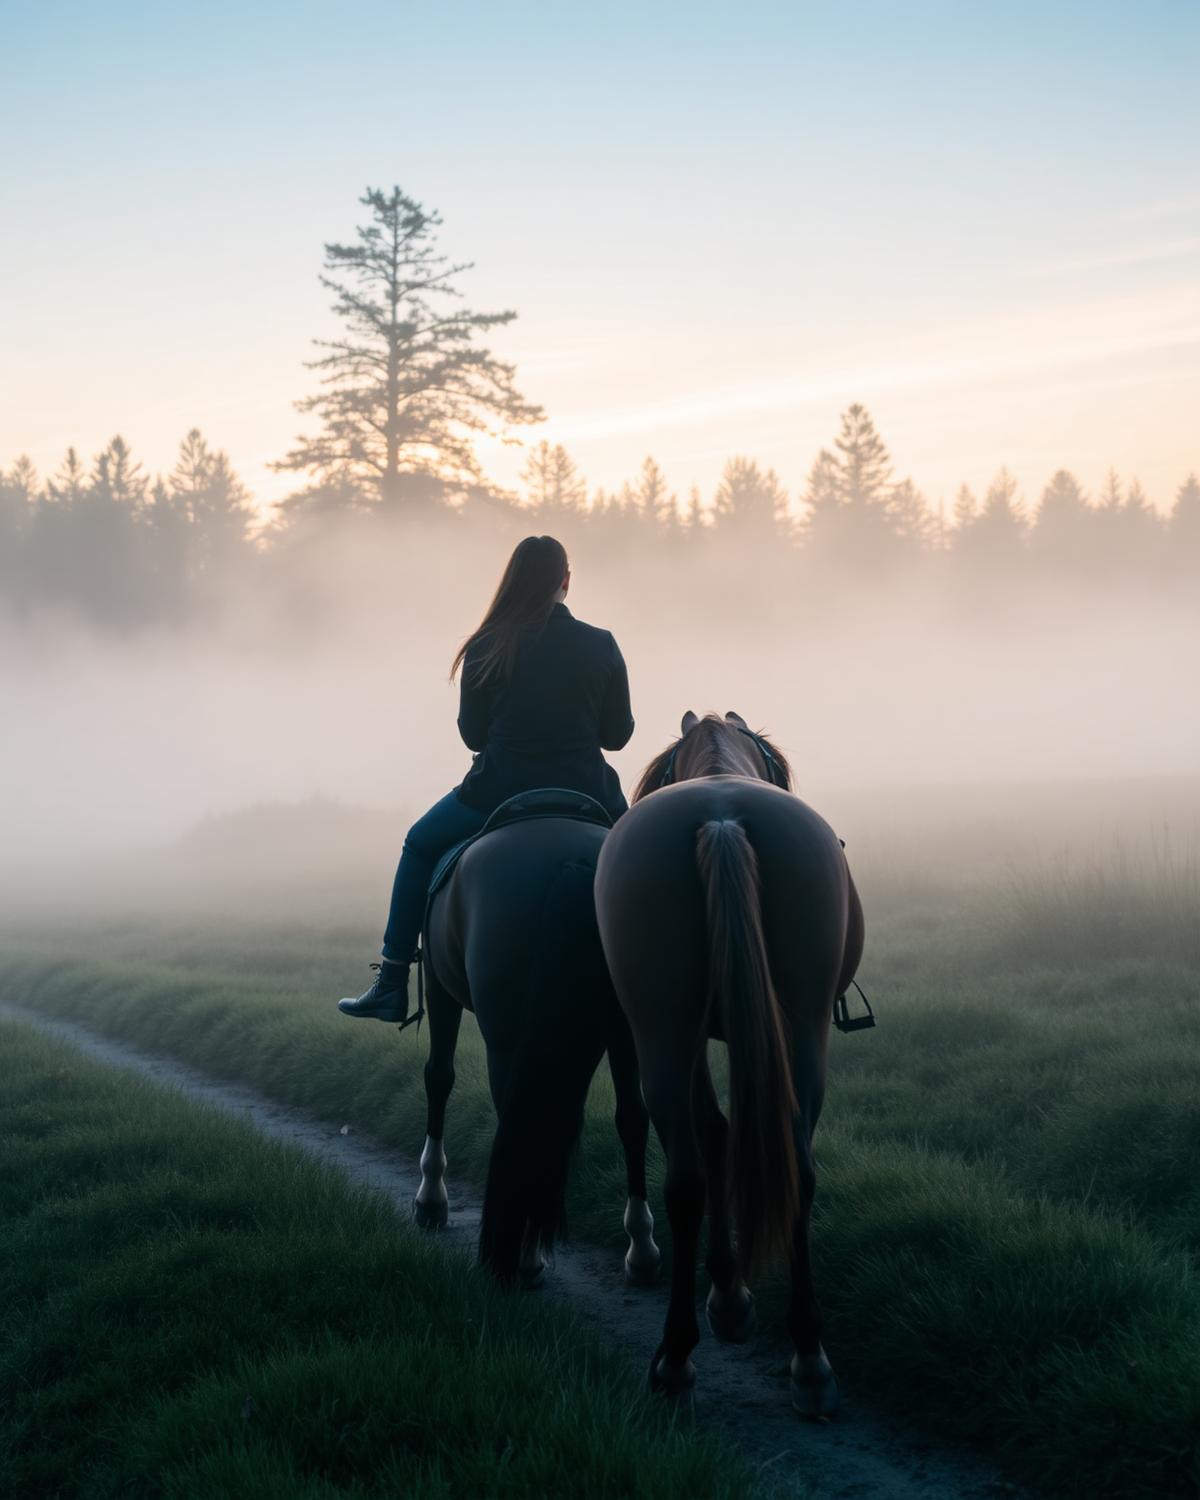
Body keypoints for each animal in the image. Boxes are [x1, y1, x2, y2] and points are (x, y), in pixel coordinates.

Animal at [415, 809, 661, 1287]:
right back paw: (640, 1251)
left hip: (505, 1033)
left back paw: (520, 1257)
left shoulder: (438, 986)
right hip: (620, 1027)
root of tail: (574, 860)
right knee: (630, 1119)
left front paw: (431, 1200)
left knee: (519, 1113)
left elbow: (438, 1077)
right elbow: (630, 1120)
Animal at [593, 711, 864, 1415]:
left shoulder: (686, 1042)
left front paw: (728, 1296)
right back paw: (809, 1358)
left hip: (663, 1035)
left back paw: (678, 1355)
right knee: (797, 1168)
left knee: (686, 1178)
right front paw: (732, 1294)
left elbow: (714, 1137)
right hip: (799, 1028)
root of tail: (721, 821)